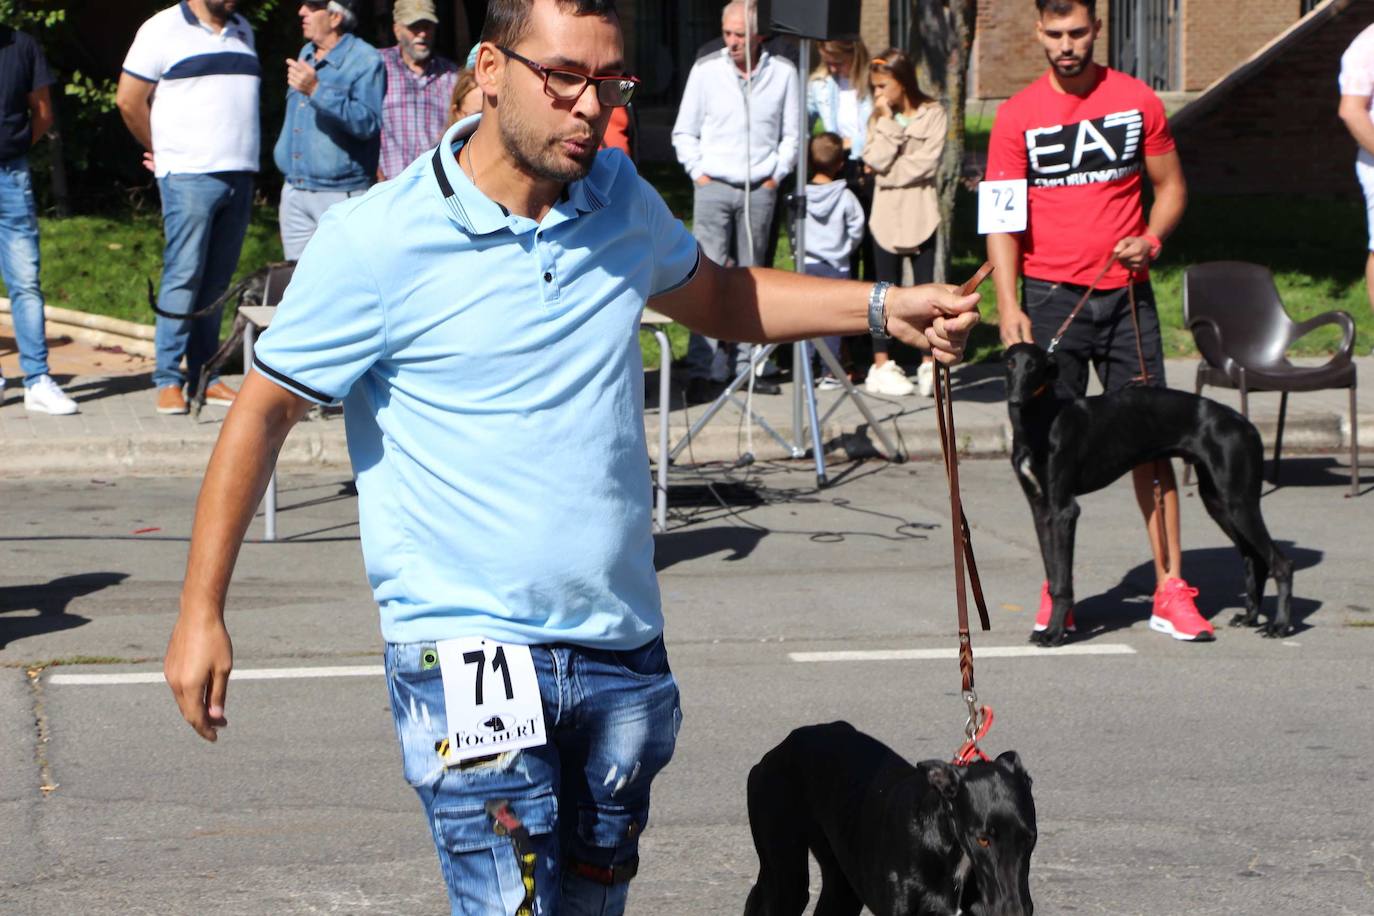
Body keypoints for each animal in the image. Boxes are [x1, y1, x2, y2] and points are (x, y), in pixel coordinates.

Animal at [747, 725, 1033, 916]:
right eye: (982, 840)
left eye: (1029, 838)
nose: (1016, 911)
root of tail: (779, 749)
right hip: (786, 874)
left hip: (841, 883)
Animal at [1005, 340, 1291, 648]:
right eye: (1010, 362)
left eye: (1033, 365)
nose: (1015, 400)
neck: (1042, 420)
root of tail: (1247, 425)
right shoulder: (1041, 510)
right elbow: (1053, 572)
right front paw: (1049, 627)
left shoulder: (1064, 511)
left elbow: (1062, 581)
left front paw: (1055, 632)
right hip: (1218, 501)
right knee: (1254, 559)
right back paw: (1250, 617)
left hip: (1238, 502)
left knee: (1280, 562)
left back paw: (1280, 625)